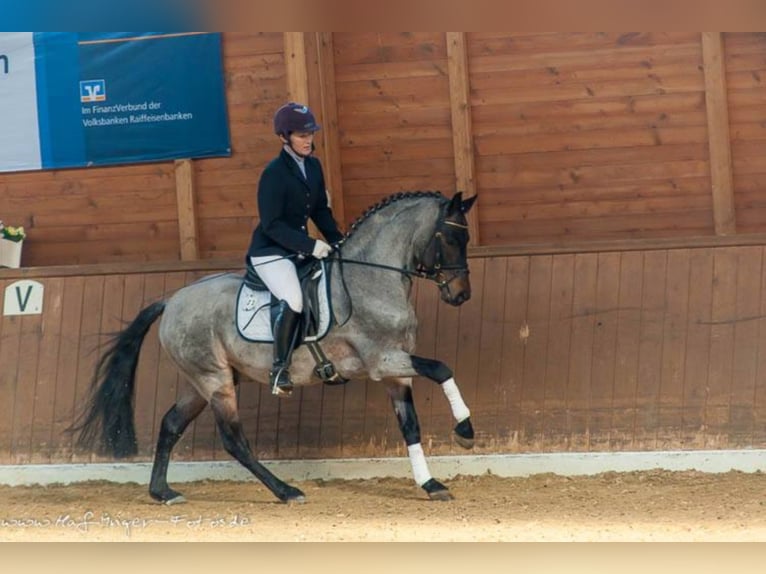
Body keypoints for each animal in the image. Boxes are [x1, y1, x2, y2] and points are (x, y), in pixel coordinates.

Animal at [72, 191, 480, 506]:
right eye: (449, 239)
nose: (461, 295)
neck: (371, 278)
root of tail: (172, 300)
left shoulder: (397, 371)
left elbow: (410, 426)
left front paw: (431, 484)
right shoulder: (383, 361)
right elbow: (442, 368)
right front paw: (465, 430)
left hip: (202, 382)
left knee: (171, 424)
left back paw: (162, 492)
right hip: (215, 382)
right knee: (234, 440)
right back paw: (286, 491)